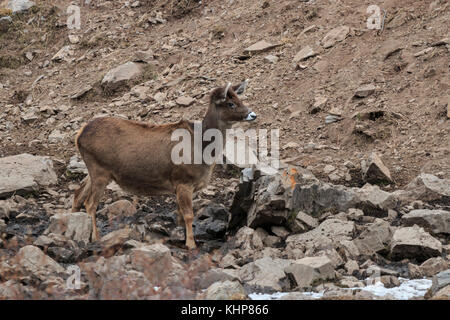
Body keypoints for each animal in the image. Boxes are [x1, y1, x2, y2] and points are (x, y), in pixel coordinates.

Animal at [70, 80, 253, 250]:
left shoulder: (182, 185)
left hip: (94, 169)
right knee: (90, 203)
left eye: (240, 99)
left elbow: (180, 216)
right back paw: (95, 237)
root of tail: (79, 135)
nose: (252, 114)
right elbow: (188, 215)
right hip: (99, 170)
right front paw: (191, 244)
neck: (203, 150)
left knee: (78, 194)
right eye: (231, 103)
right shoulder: (183, 180)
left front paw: (182, 238)